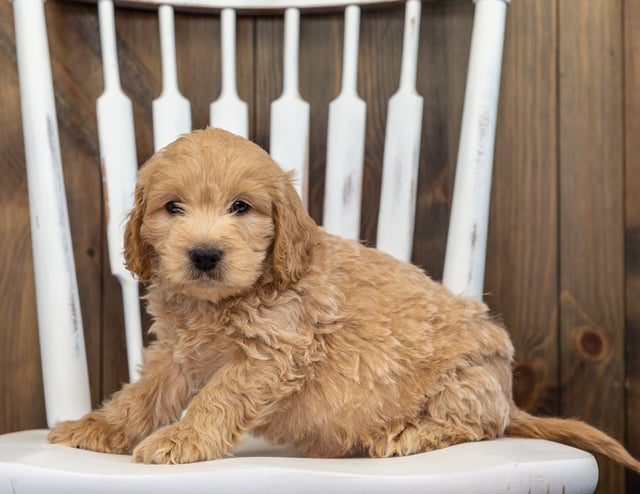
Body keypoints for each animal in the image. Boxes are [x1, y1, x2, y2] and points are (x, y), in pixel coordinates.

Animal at [47, 128, 640, 470]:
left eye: (241, 207)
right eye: (173, 207)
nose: (205, 255)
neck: (226, 299)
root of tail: (509, 398)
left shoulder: (271, 352)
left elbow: (218, 397)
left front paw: (182, 440)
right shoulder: (175, 353)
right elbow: (140, 397)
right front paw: (96, 428)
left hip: (464, 380)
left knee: (474, 427)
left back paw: (405, 436)